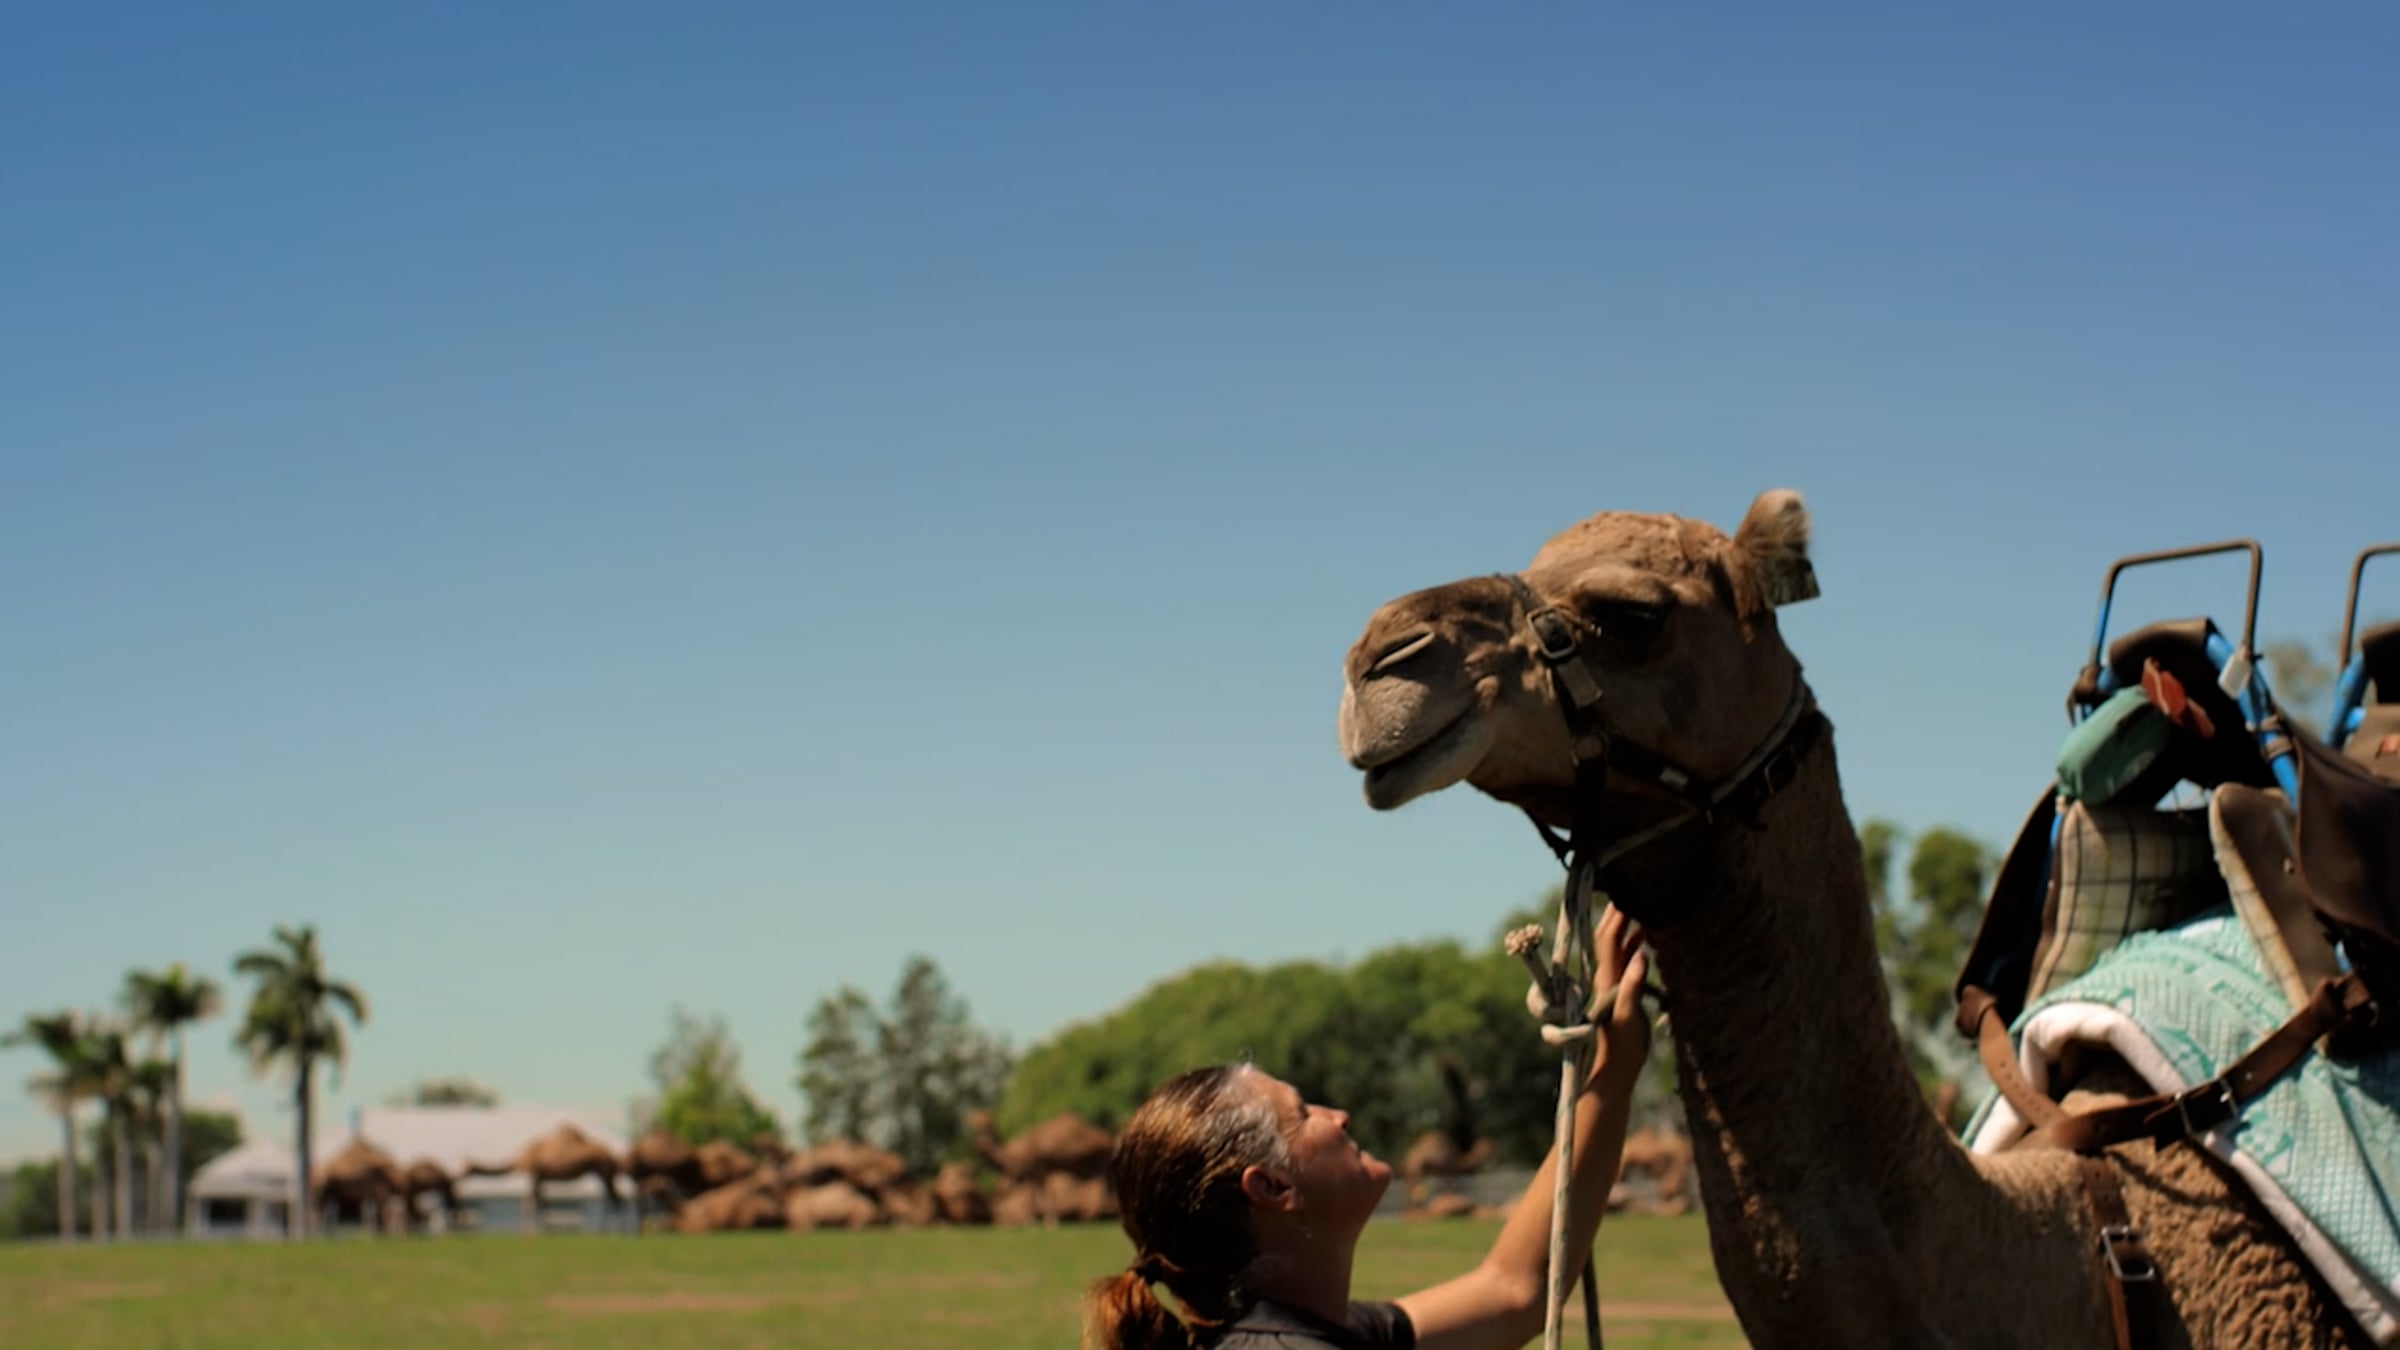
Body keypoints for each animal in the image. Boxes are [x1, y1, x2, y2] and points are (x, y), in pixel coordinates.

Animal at [467, 1122, 624, 1234]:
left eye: (467, 1168)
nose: (461, 1174)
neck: (519, 1159)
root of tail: (613, 1156)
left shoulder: (533, 1173)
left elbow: (529, 1202)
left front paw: (527, 1232)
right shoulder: (540, 1177)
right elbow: (542, 1201)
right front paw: (546, 1229)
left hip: (604, 1169)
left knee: (613, 1197)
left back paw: (613, 1230)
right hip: (604, 1171)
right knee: (612, 1197)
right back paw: (609, 1229)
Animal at [967, 1109, 1114, 1225]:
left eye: (985, 1120)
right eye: (976, 1119)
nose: (970, 1118)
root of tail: (1108, 1138)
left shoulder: (1040, 1171)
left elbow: (1044, 1195)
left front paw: (1051, 1221)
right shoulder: (1031, 1175)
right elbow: (1034, 1196)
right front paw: (1035, 1220)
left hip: (1100, 1161)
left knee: (1102, 1185)